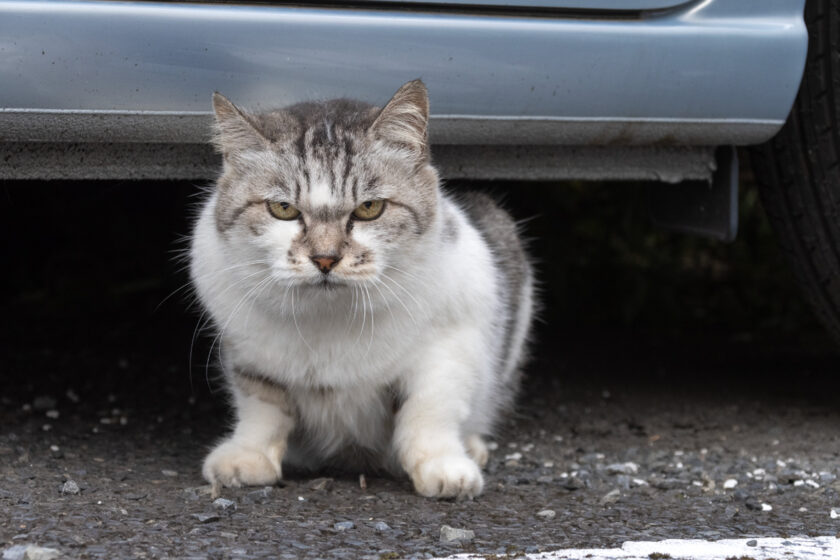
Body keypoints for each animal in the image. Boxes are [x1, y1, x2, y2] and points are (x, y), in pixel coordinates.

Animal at [189, 79, 532, 498]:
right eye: (283, 209)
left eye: (370, 208)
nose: (324, 259)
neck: (330, 318)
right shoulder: (249, 356)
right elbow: (263, 409)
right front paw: (247, 457)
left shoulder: (450, 346)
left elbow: (428, 410)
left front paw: (444, 468)